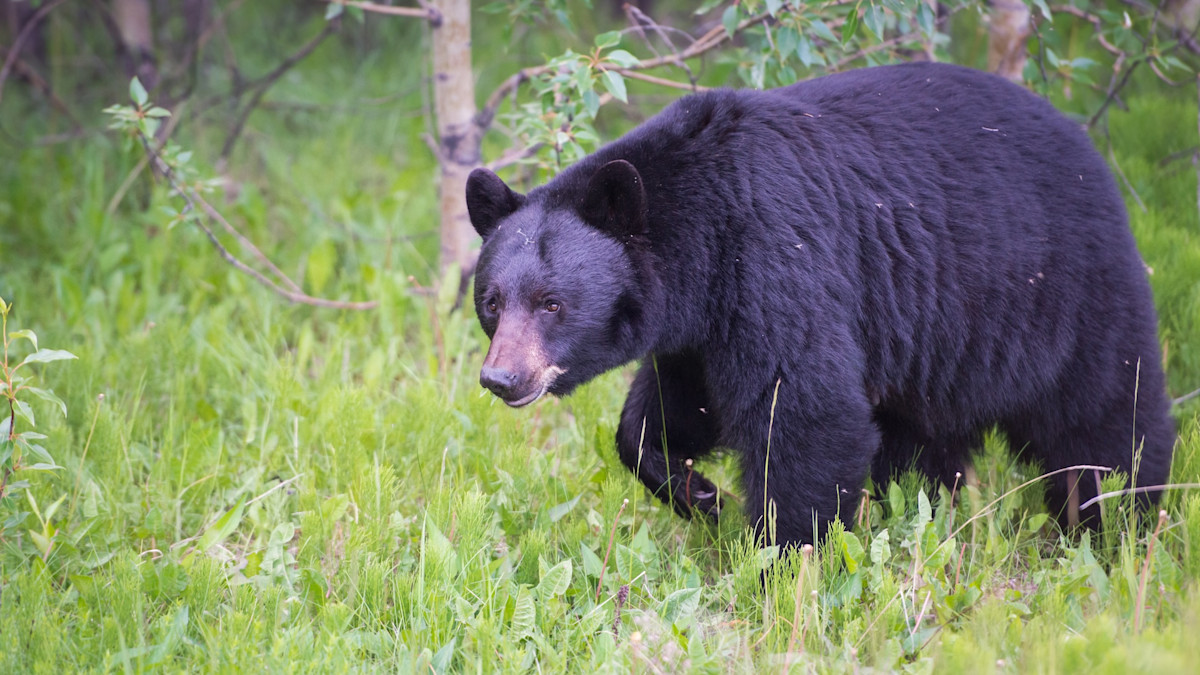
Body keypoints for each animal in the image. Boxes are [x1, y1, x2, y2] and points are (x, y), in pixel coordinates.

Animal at [464, 62, 1175, 549]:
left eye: (552, 303)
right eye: (493, 301)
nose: (502, 378)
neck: (704, 230)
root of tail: (1082, 141)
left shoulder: (777, 261)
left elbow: (806, 412)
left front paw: (783, 559)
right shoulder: (700, 328)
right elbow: (666, 415)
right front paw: (701, 494)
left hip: (1063, 290)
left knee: (1105, 412)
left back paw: (1118, 519)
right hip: (937, 347)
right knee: (922, 438)